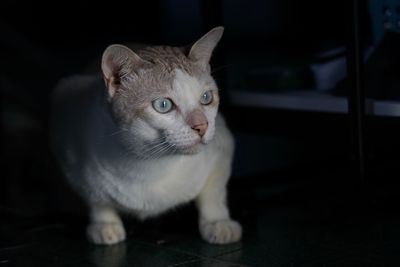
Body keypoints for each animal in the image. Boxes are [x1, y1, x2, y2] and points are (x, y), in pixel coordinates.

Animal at [49, 26, 241, 246]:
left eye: (206, 98)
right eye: (163, 105)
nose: (202, 126)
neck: (150, 165)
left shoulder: (223, 146)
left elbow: (213, 195)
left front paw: (218, 222)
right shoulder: (70, 148)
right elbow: (97, 199)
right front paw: (105, 224)